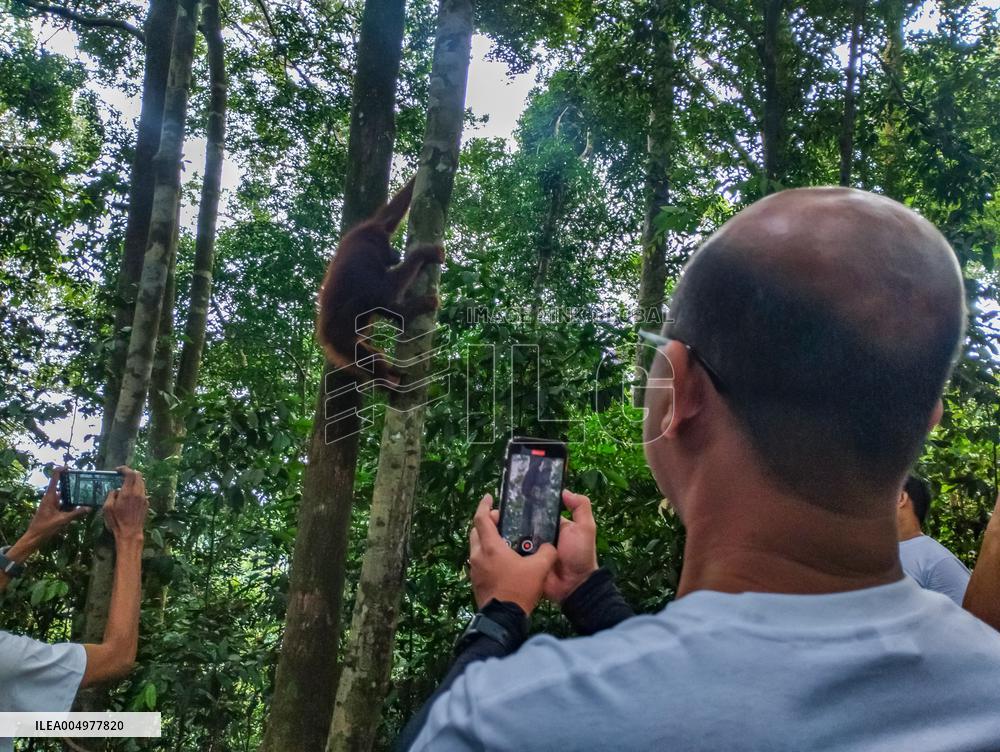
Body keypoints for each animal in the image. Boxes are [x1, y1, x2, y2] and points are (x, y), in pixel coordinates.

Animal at [317, 176, 444, 384]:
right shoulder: (364, 255)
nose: (396, 253)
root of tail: (325, 338)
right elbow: (381, 290)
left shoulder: (366, 228)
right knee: (364, 304)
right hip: (339, 337)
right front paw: (424, 253)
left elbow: (388, 216)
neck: (368, 239)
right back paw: (385, 377)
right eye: (389, 245)